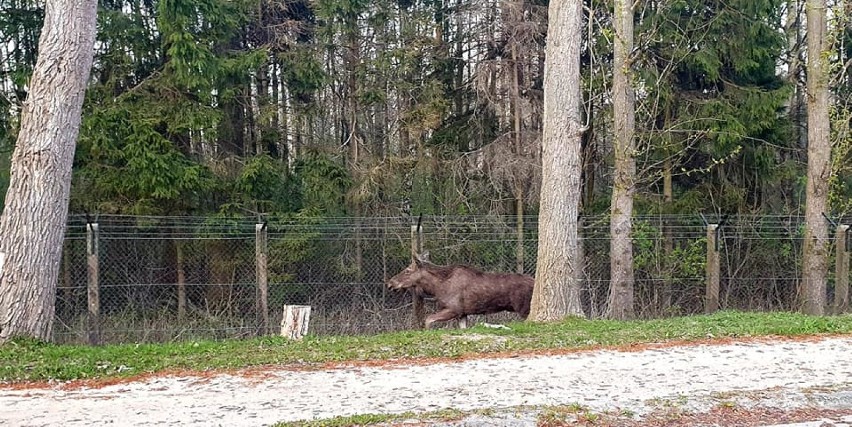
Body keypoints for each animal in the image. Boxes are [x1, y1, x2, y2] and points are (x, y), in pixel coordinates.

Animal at [388, 252, 532, 330]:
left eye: (407, 270)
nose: (390, 283)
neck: (436, 288)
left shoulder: (454, 309)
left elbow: (428, 320)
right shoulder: (462, 314)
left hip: (524, 308)